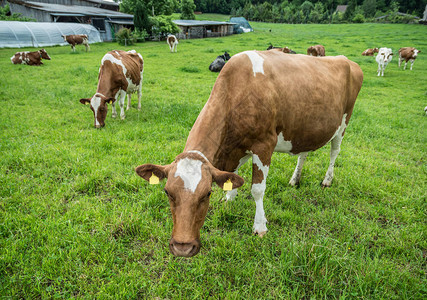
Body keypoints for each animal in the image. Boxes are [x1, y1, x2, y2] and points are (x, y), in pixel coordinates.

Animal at [135, 50, 362, 256]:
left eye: (207, 193)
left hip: (344, 122)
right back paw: (295, 179)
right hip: (305, 128)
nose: (182, 247)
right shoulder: (235, 148)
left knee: (334, 152)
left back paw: (327, 180)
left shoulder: (264, 145)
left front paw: (260, 226)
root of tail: (346, 59)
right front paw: (229, 198)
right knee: (303, 153)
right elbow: (233, 176)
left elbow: (257, 189)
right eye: (167, 192)